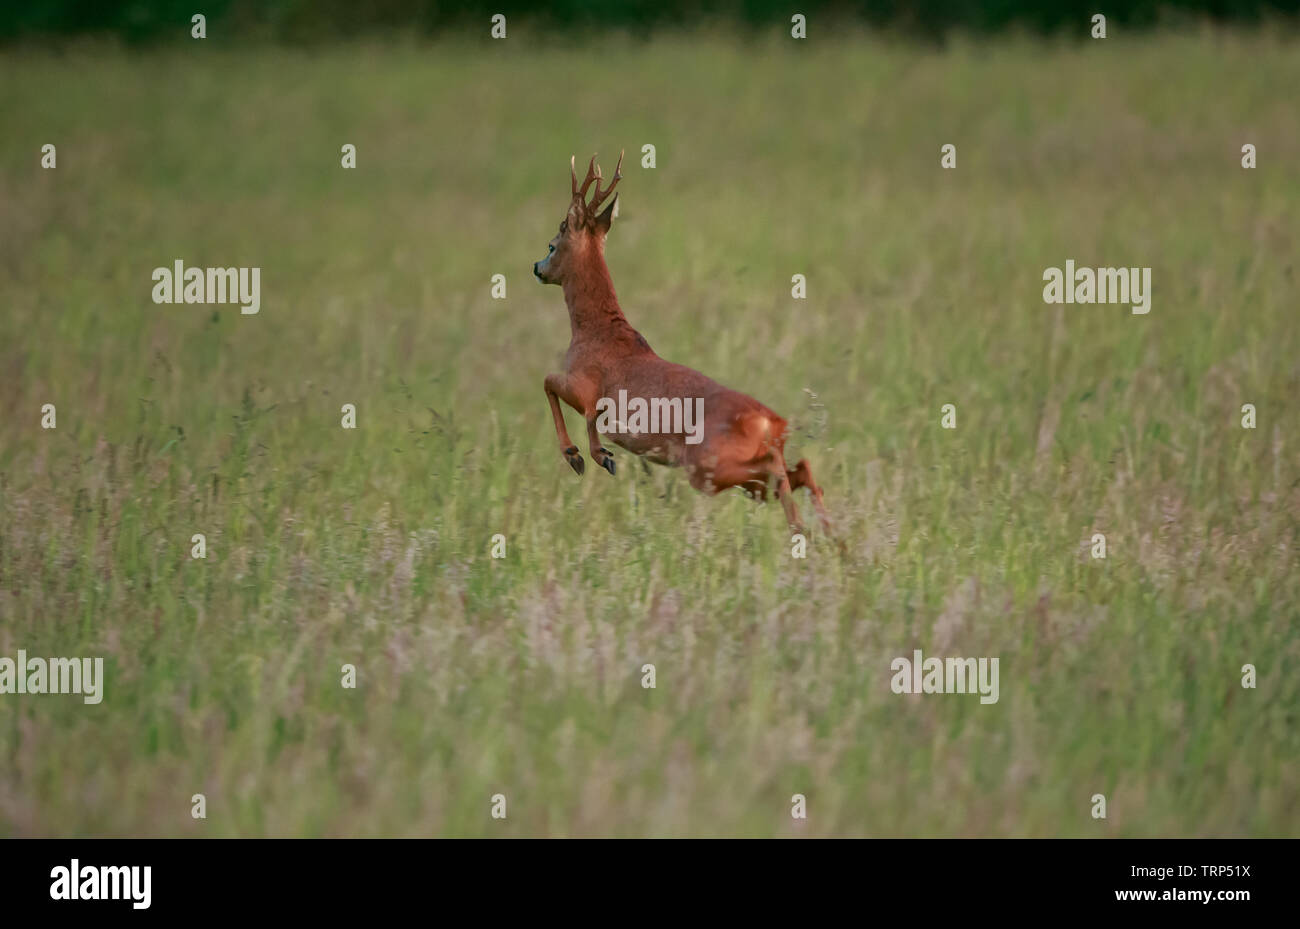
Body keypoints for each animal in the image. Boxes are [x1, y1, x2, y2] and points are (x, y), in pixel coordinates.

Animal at [530, 150, 826, 535]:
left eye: (554, 241)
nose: (537, 267)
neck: (595, 331)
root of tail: (773, 423)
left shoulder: (584, 387)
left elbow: (552, 384)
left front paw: (583, 456)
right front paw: (595, 455)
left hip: (707, 466)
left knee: (782, 472)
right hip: (741, 478)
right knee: (800, 471)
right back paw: (829, 539)